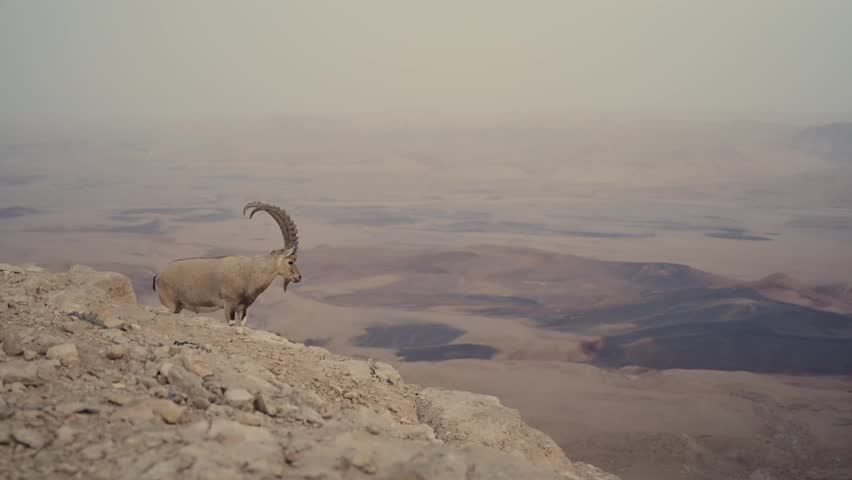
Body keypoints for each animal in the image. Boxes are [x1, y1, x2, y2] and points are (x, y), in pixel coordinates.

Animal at [153, 202, 302, 326]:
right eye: (291, 261)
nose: (298, 277)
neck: (251, 273)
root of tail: (159, 276)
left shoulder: (242, 308)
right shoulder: (229, 305)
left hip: (178, 306)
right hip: (170, 304)